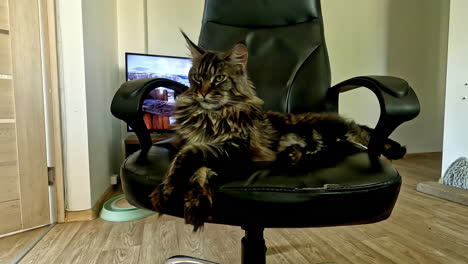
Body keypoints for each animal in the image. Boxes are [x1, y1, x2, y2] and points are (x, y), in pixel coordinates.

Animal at [150, 32, 406, 231]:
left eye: (219, 78)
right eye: (197, 77)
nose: (202, 93)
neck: (211, 116)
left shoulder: (232, 148)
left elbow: (192, 158)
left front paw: (175, 194)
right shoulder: (189, 143)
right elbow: (196, 166)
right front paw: (191, 198)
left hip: (333, 129)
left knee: (360, 130)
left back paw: (396, 149)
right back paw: (292, 155)